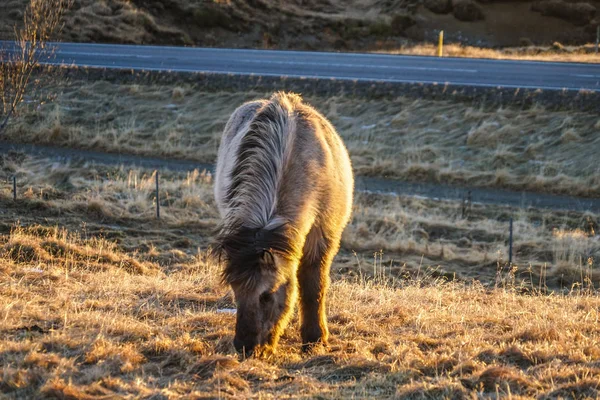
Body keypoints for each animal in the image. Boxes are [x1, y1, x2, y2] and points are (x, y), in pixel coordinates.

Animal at [214, 91, 352, 356]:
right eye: (235, 291)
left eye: (266, 295)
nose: (246, 348)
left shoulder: (322, 236)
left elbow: (313, 287)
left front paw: (315, 339)